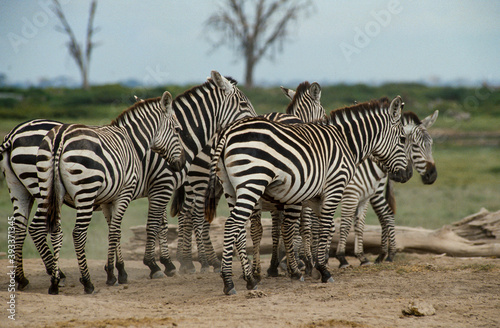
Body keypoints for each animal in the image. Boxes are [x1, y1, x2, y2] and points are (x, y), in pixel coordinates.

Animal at [26, 91, 186, 294]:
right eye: (178, 130)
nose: (182, 163)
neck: (133, 142)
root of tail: (60, 136)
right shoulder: (124, 193)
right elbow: (115, 231)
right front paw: (112, 275)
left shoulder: (107, 200)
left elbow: (113, 231)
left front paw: (118, 272)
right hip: (85, 192)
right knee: (78, 234)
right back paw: (87, 283)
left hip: (49, 191)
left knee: (54, 230)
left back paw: (55, 283)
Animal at [170, 82, 322, 274]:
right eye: (322, 110)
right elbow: (302, 226)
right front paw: (303, 261)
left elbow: (277, 228)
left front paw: (279, 262)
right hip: (202, 180)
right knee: (197, 216)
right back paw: (202, 262)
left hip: (211, 186)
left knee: (190, 214)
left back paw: (191, 262)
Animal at [205, 95, 412, 294]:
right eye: (403, 139)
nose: (407, 175)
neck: (347, 142)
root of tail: (228, 132)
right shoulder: (335, 186)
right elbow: (324, 226)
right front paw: (323, 270)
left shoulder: (313, 197)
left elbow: (321, 228)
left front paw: (312, 266)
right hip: (252, 182)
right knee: (233, 224)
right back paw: (229, 282)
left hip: (231, 188)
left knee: (239, 229)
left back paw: (250, 279)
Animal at [336, 109, 438, 268]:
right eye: (415, 145)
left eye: (431, 144)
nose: (432, 175)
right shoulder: (351, 194)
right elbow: (344, 223)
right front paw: (341, 258)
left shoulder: (364, 194)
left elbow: (359, 223)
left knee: (385, 214)